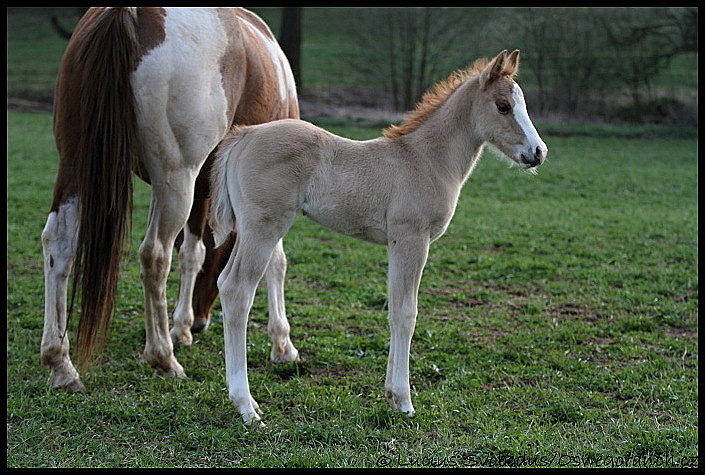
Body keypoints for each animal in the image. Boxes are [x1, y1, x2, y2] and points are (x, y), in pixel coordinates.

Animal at [40, 8, 300, 394]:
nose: (202, 321)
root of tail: (128, 13)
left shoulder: (201, 192)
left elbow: (193, 252)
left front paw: (182, 326)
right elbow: (275, 261)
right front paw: (282, 344)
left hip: (79, 166)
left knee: (59, 245)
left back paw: (61, 364)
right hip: (176, 178)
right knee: (154, 254)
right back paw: (162, 357)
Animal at [212, 50, 548, 426]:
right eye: (503, 106)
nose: (538, 152)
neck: (425, 159)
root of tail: (243, 135)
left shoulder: (395, 244)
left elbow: (393, 310)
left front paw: (390, 392)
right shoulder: (412, 238)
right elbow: (406, 313)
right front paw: (404, 401)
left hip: (248, 228)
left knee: (226, 282)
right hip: (264, 226)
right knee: (237, 290)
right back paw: (246, 407)